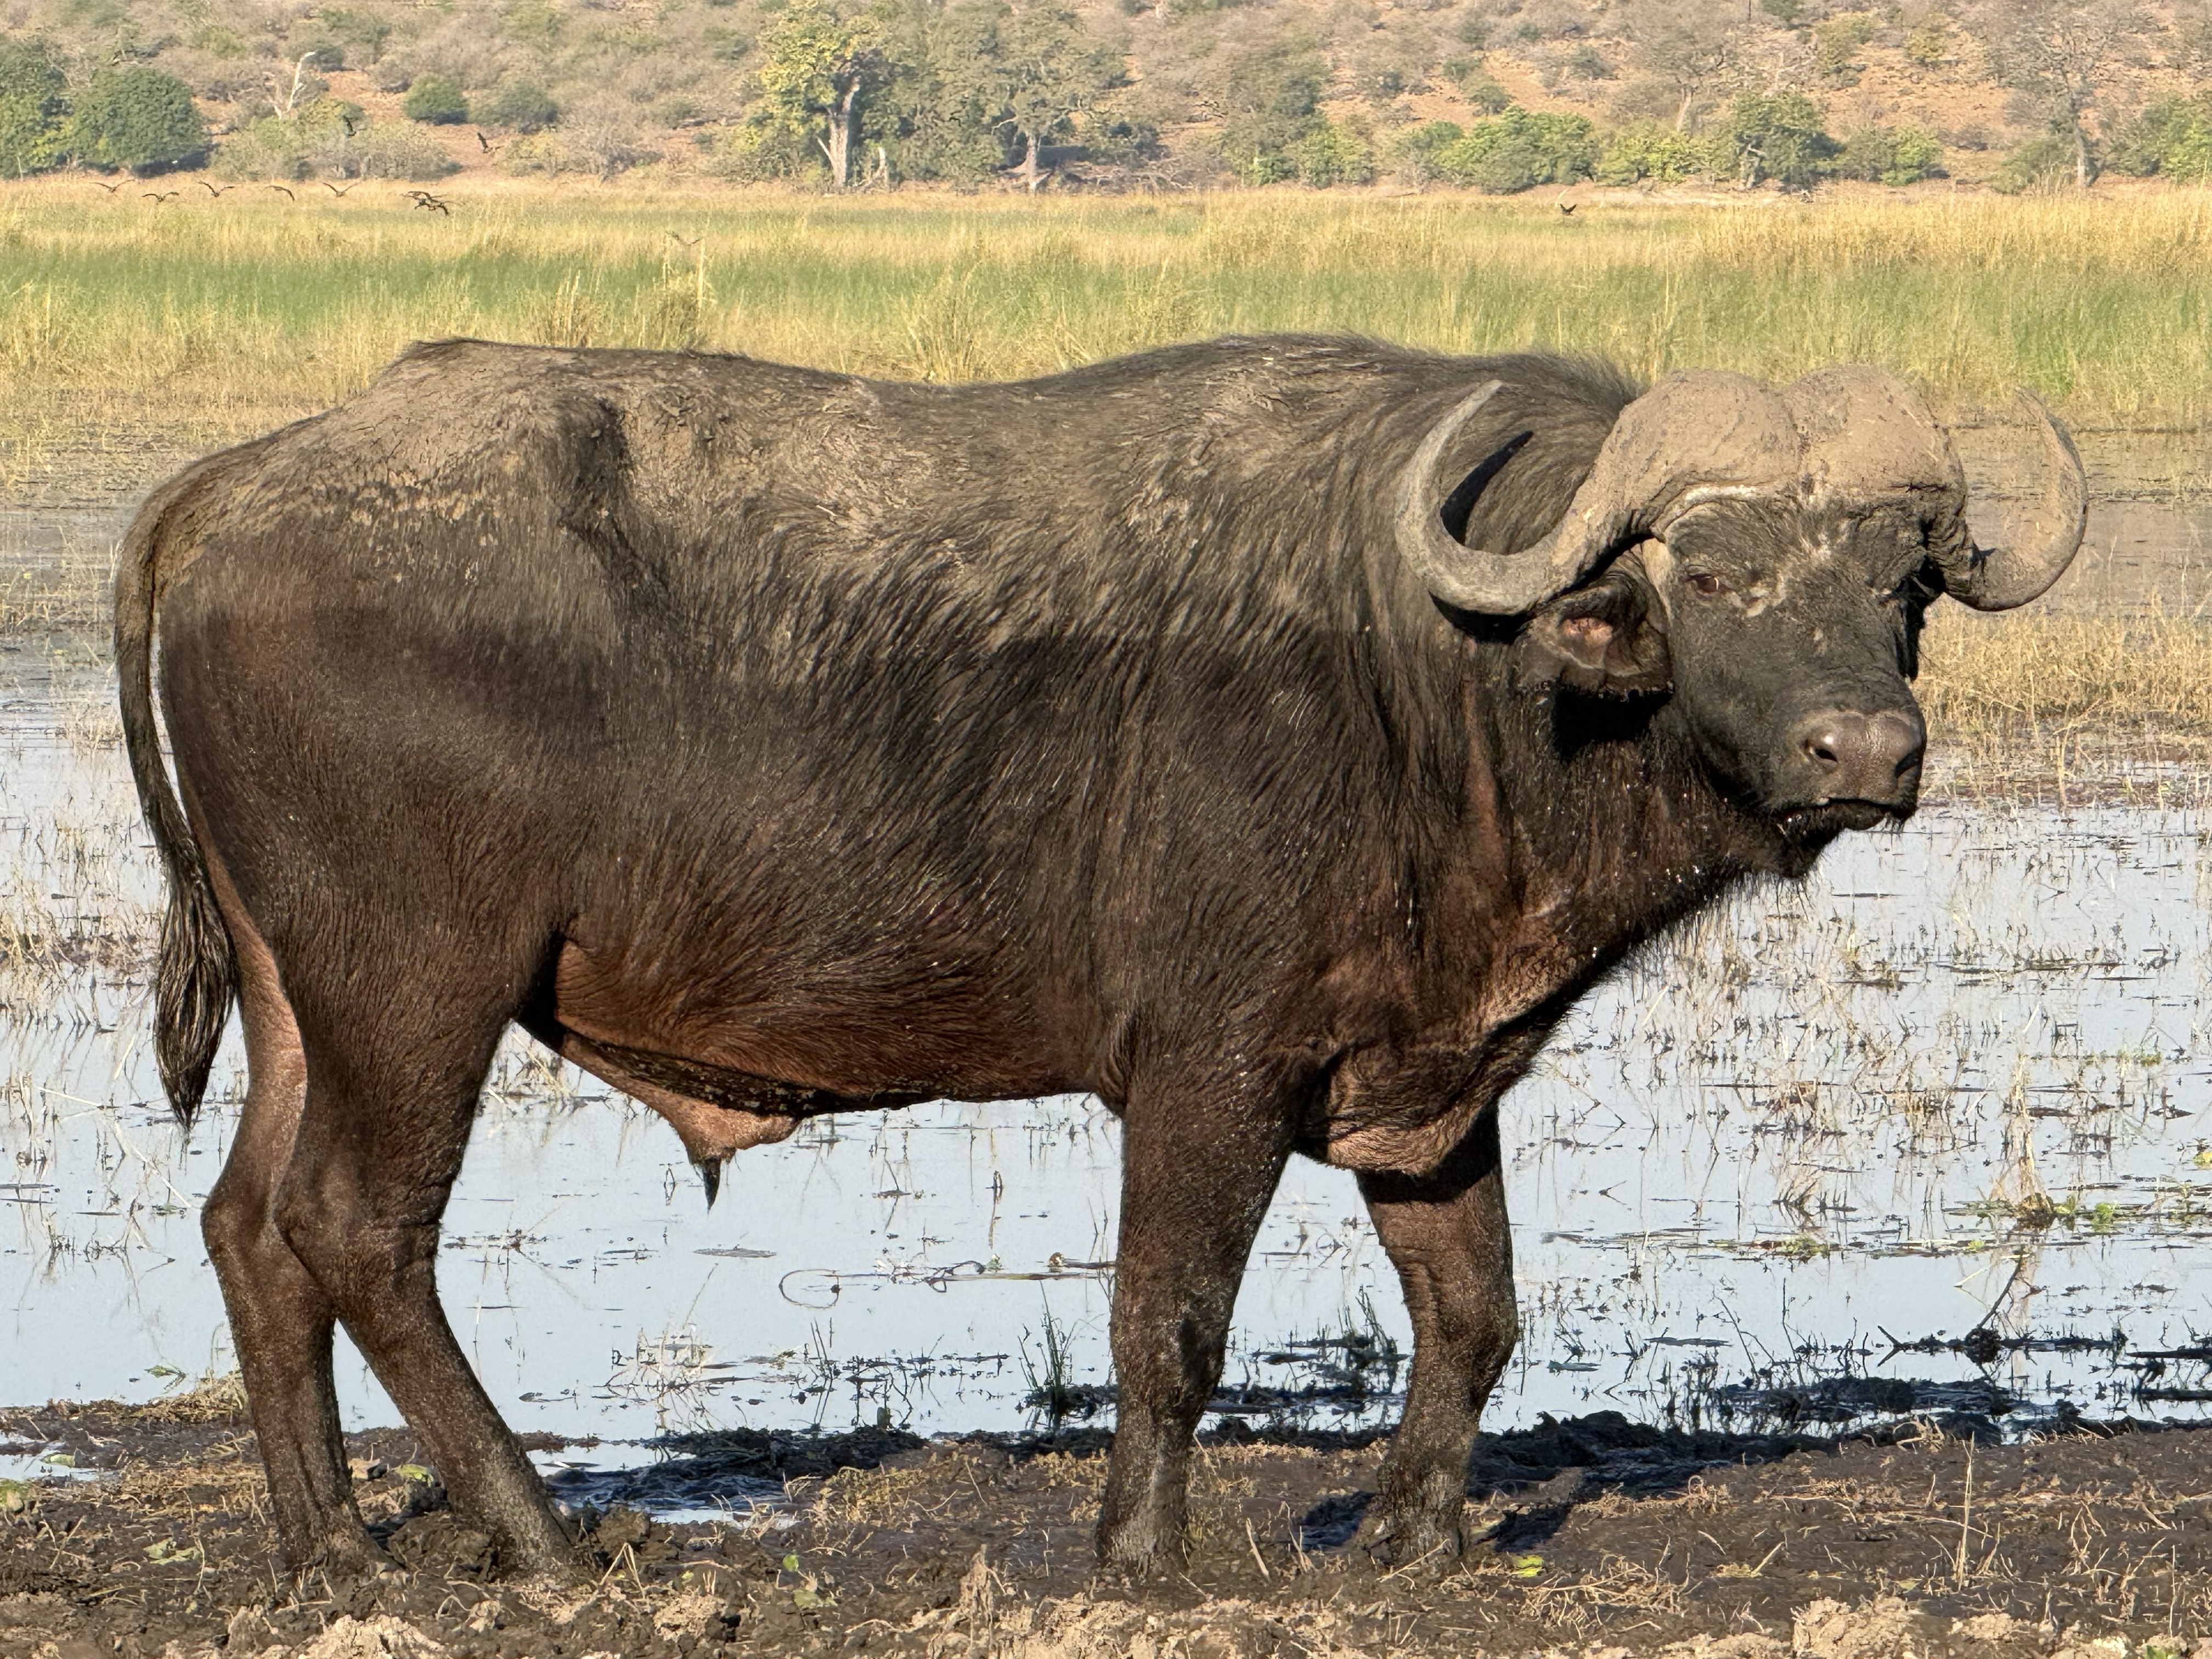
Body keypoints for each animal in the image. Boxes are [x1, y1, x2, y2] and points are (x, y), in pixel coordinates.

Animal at [116, 335, 2084, 1578]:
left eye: (1901, 579)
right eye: (1719, 568)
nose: (1866, 748)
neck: (1442, 673)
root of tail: (248, 485)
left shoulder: (1434, 1085)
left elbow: (1474, 1311)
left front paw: (1410, 1537)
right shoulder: (1208, 1075)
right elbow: (1170, 1322)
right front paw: (1147, 1553)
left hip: (303, 999)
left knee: (249, 1229)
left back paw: (329, 1548)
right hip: (419, 990)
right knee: (360, 1229)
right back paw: (534, 1538)